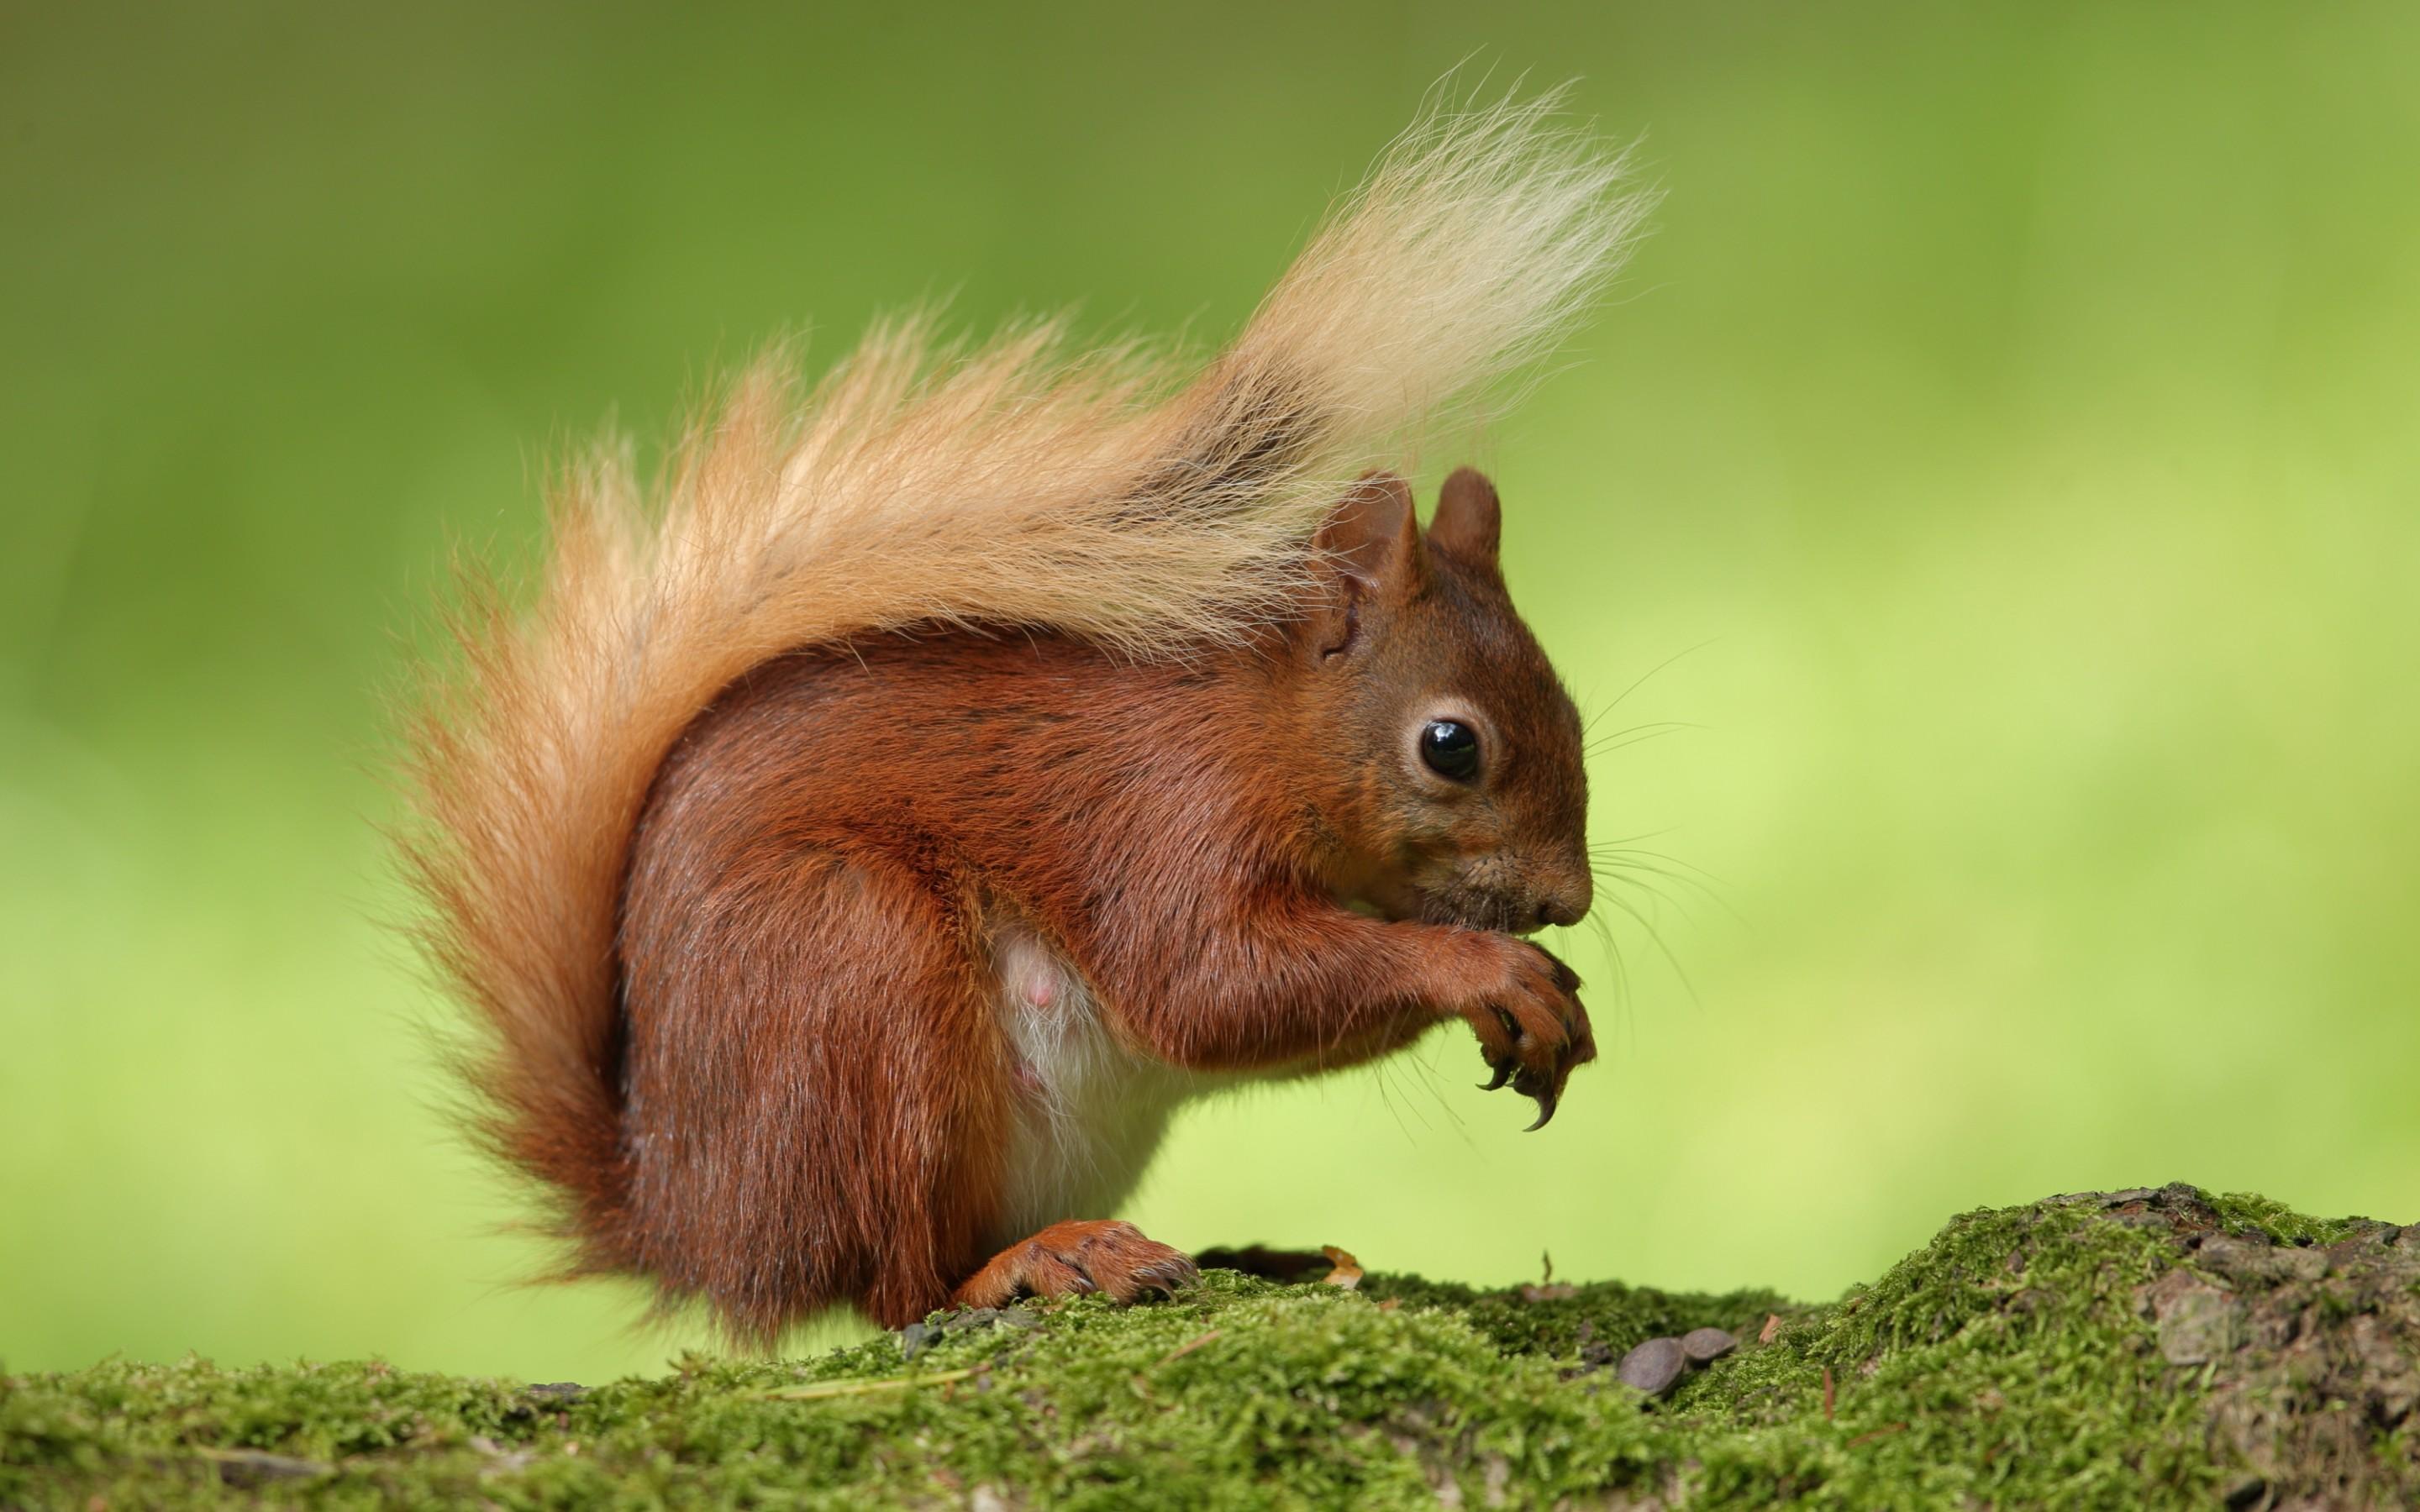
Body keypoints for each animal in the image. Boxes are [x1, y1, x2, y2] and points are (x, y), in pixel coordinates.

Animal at [401, 97, 1649, 1342]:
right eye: (1451, 746)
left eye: (1569, 706)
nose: (1568, 902)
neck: (1260, 735)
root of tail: (687, 1223)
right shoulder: (1158, 822)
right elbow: (1209, 986)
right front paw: (1487, 971)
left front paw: (1548, 1001)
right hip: (854, 974)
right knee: (898, 1286)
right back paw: (1031, 1267)